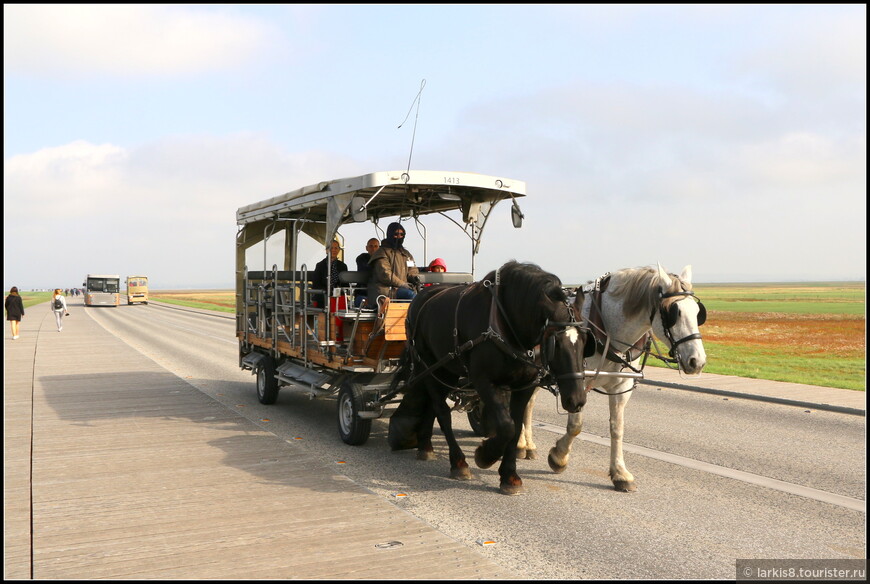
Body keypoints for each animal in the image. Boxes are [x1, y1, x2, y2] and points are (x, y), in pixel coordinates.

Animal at [386, 260, 584, 492]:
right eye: (556, 344)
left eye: (586, 342)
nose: (577, 400)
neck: (509, 323)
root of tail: (421, 296)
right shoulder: (484, 381)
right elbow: (506, 427)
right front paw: (486, 455)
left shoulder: (524, 386)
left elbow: (515, 425)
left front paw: (510, 475)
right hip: (428, 366)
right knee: (442, 411)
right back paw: (458, 463)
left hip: (446, 370)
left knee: (432, 406)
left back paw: (425, 446)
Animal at [548, 264, 712, 492]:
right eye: (675, 313)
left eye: (698, 313)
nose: (698, 361)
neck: (607, 329)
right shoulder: (576, 381)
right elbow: (575, 425)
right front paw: (559, 457)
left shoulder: (621, 385)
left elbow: (617, 427)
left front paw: (620, 473)